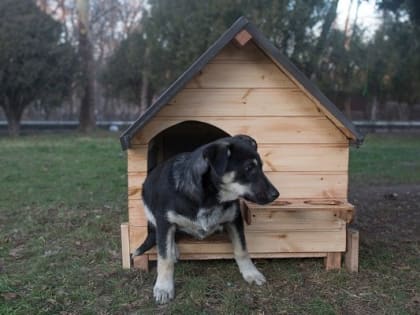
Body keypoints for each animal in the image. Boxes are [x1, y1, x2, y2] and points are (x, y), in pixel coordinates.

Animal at [133, 135, 280, 304]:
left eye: (261, 167)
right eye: (249, 168)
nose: (276, 194)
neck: (209, 198)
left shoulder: (235, 218)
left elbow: (241, 249)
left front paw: (251, 272)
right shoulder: (164, 221)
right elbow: (164, 258)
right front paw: (164, 287)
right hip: (147, 197)